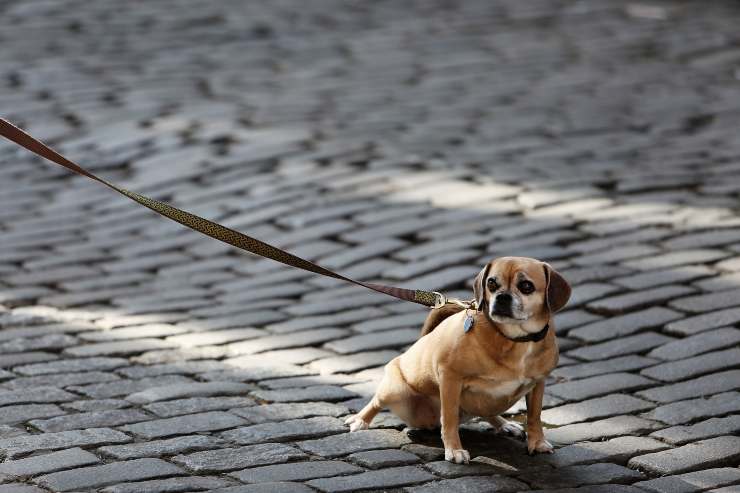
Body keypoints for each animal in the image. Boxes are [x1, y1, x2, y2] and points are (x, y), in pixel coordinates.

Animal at [346, 258, 572, 462]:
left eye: (526, 286)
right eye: (491, 283)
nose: (502, 297)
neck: (514, 339)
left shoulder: (538, 383)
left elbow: (534, 416)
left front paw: (537, 442)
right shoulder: (450, 378)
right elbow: (449, 419)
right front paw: (454, 450)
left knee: (487, 411)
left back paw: (504, 424)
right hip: (394, 390)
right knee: (376, 401)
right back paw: (360, 420)